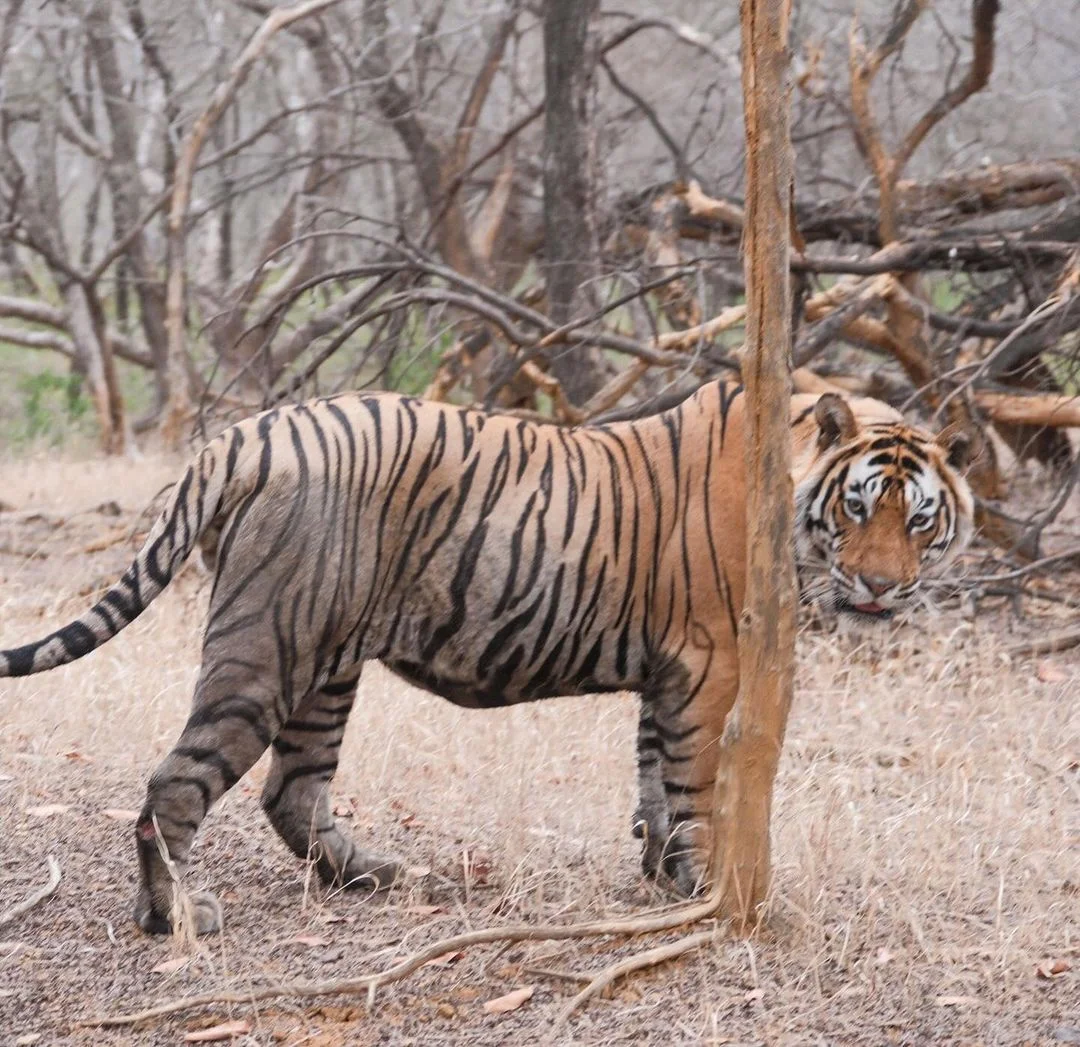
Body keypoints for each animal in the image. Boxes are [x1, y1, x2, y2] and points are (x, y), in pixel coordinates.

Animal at [0, 382, 980, 933]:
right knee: (178, 782)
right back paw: (175, 915)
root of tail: (242, 435)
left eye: (919, 517)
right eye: (858, 506)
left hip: (327, 663)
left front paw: (660, 872)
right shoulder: (709, 665)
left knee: (295, 790)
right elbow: (698, 785)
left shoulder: (668, 675)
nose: (882, 588)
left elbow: (653, 777)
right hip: (271, 646)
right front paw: (705, 887)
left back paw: (380, 876)